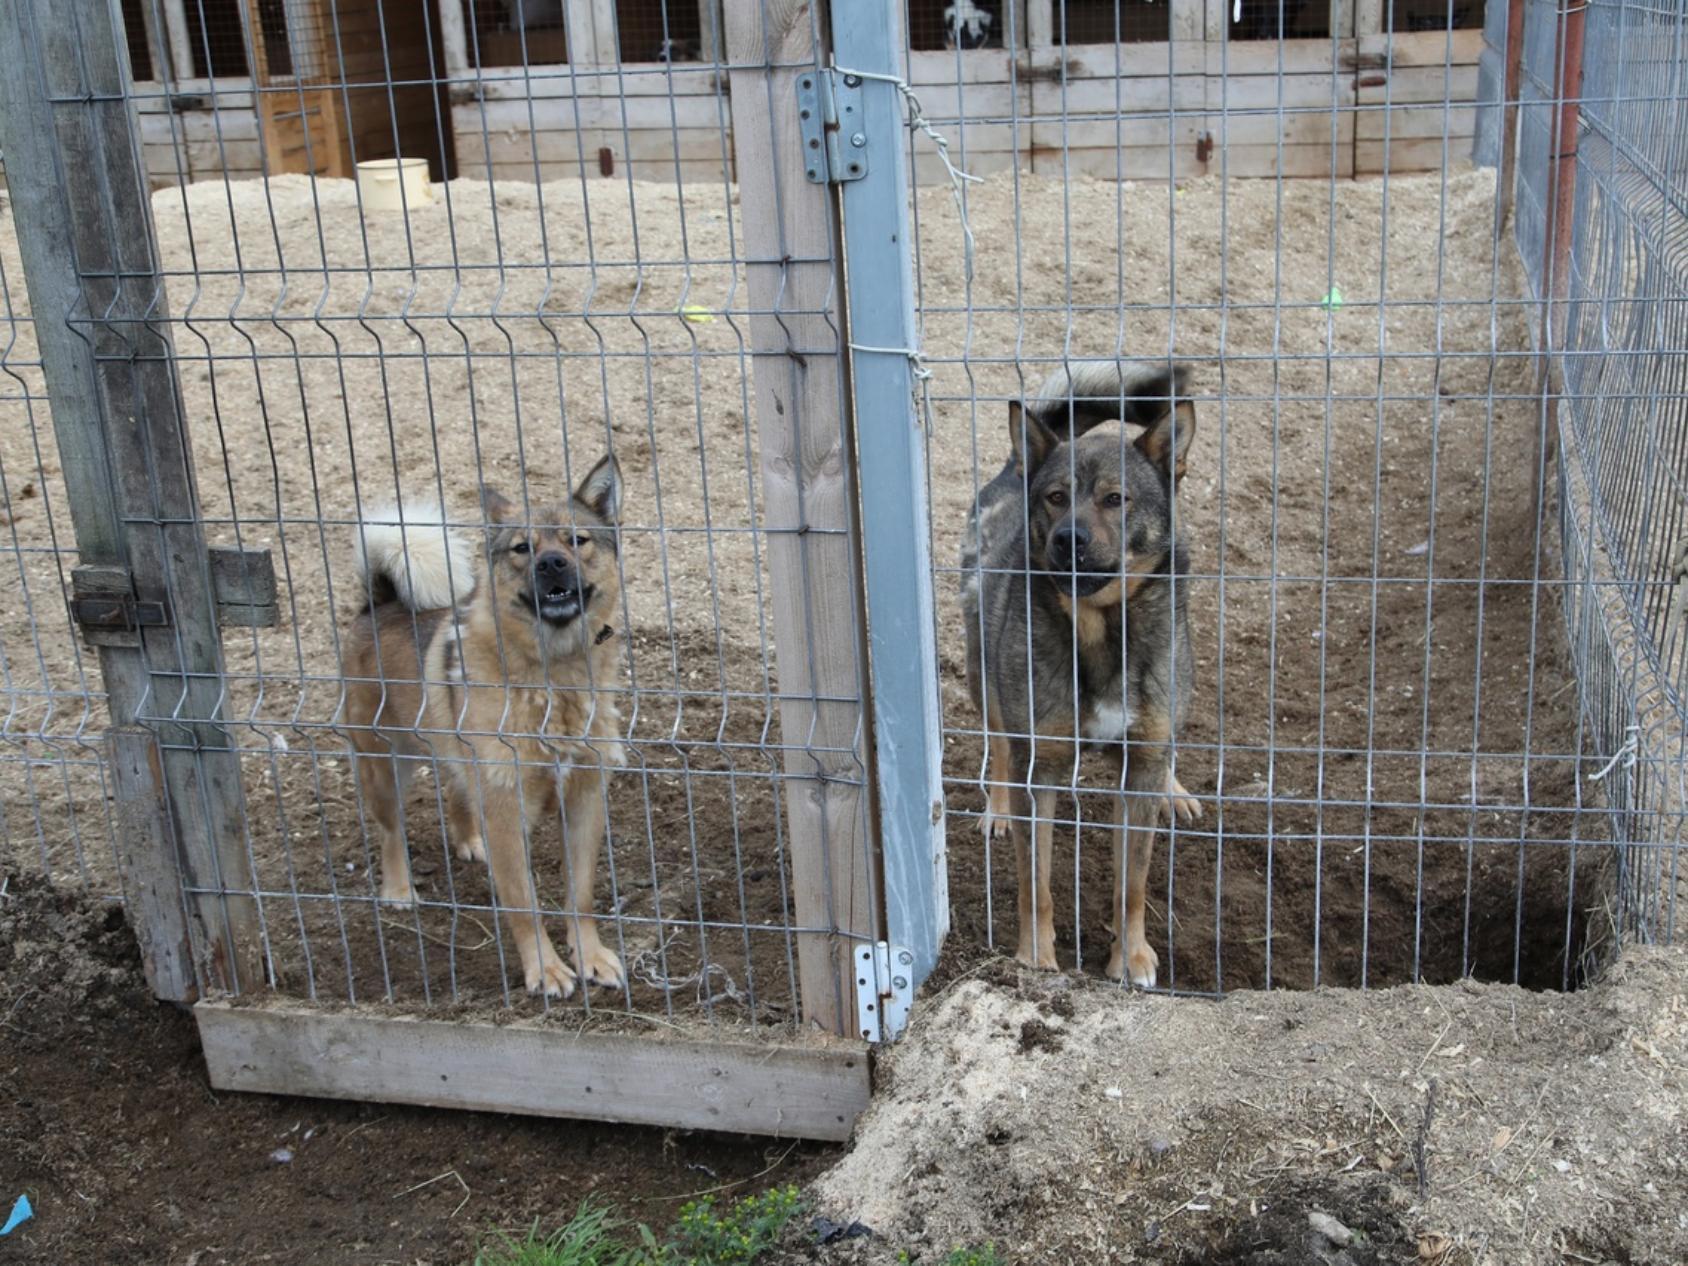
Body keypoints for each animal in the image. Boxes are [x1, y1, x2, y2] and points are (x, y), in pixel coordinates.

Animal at [340, 455, 627, 999]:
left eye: (576, 540)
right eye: (521, 548)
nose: (551, 564)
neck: (553, 675)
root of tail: (381, 604)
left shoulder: (584, 797)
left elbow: (580, 894)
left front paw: (591, 957)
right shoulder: (507, 807)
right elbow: (524, 902)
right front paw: (546, 970)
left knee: (456, 786)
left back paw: (469, 839)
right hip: (383, 764)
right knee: (390, 829)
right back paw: (399, 888)